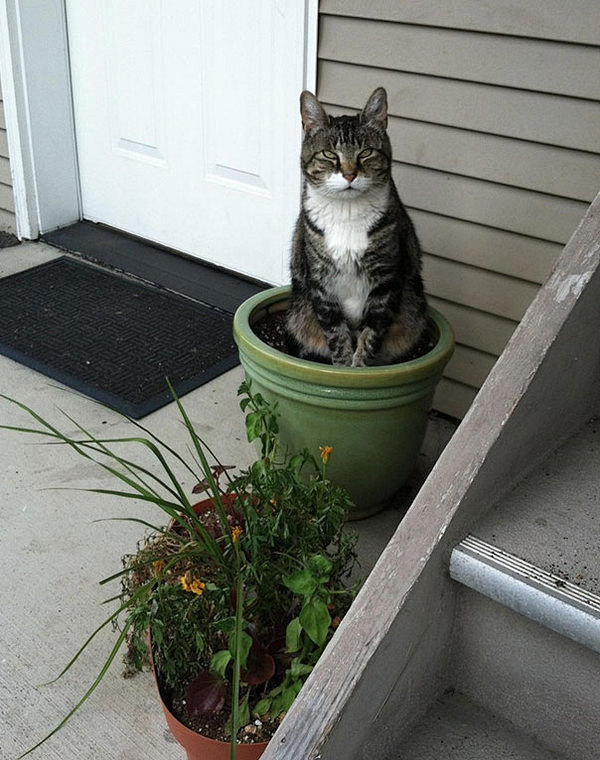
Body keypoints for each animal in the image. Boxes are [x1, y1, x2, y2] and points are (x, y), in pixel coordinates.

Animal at [286, 87, 426, 366]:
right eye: (329, 154)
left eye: (366, 153)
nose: (350, 174)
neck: (347, 211)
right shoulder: (321, 285)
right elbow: (337, 337)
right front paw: (341, 369)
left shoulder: (386, 283)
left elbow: (370, 337)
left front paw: (359, 367)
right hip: (300, 311)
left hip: (412, 310)